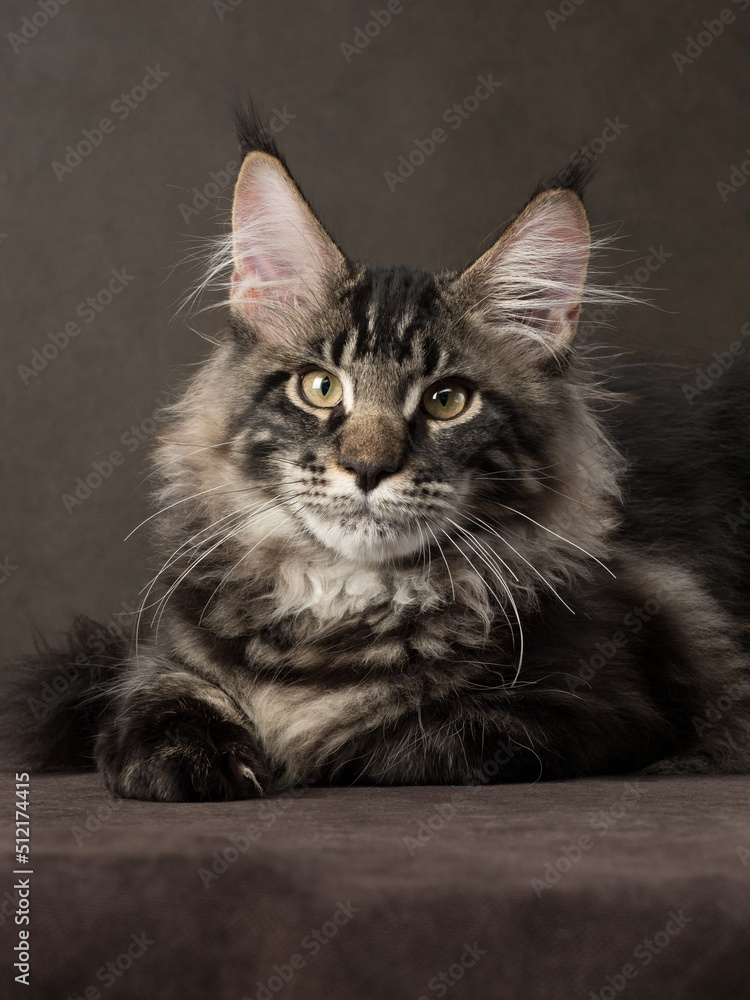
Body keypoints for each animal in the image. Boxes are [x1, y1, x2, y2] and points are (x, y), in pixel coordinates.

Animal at [5, 105, 750, 800]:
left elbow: (375, 737)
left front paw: (296, 746)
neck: (340, 596)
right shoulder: (160, 666)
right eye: (320, 387)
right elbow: (147, 711)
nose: (367, 468)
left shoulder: (595, 706)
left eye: (447, 401)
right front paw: (194, 760)